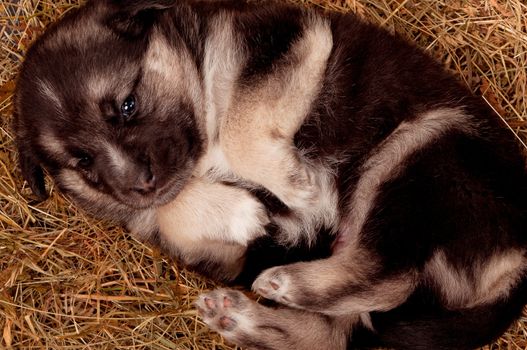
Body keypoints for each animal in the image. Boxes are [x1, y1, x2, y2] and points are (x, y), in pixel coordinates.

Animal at [14, 0, 527, 350]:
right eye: (83, 162)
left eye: (128, 105)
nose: (140, 183)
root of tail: (517, 263)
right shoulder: (224, 252)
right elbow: (170, 212)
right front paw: (240, 211)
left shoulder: (288, 41)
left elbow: (240, 121)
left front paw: (294, 184)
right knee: (334, 330)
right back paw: (241, 317)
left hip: (417, 146)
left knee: (389, 273)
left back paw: (288, 284)